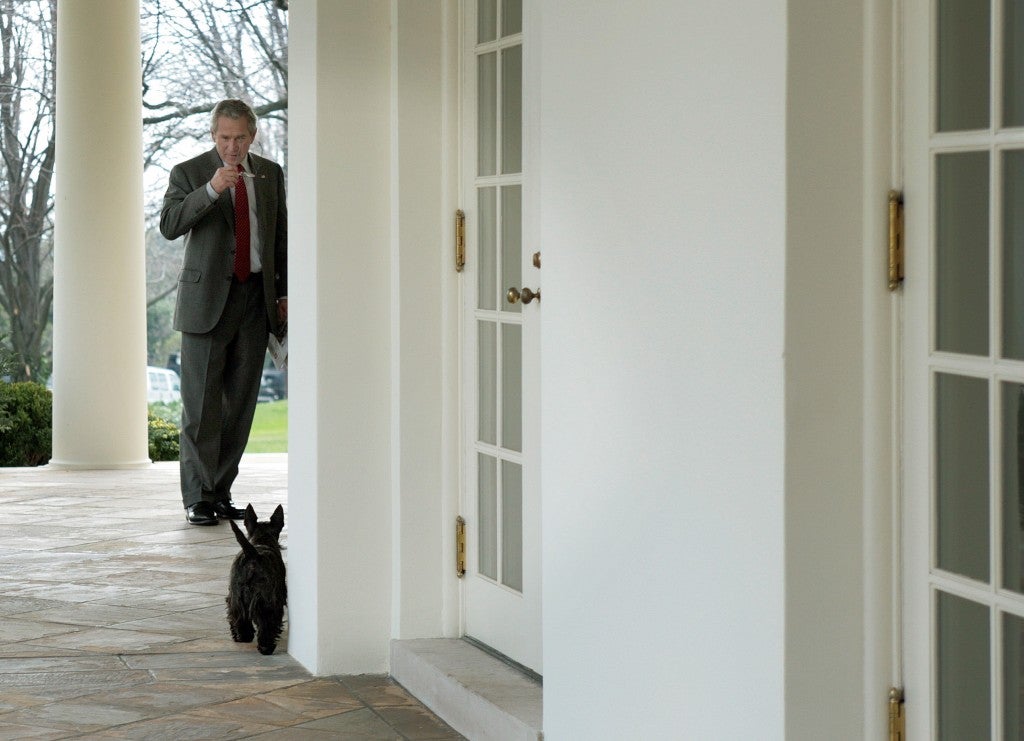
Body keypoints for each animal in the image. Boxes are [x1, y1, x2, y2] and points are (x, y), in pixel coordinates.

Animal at [226, 504, 287, 655]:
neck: (262, 540)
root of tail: (253, 554)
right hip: (267, 599)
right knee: (266, 623)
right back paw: (266, 647)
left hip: (235, 596)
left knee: (239, 618)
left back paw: (242, 637)